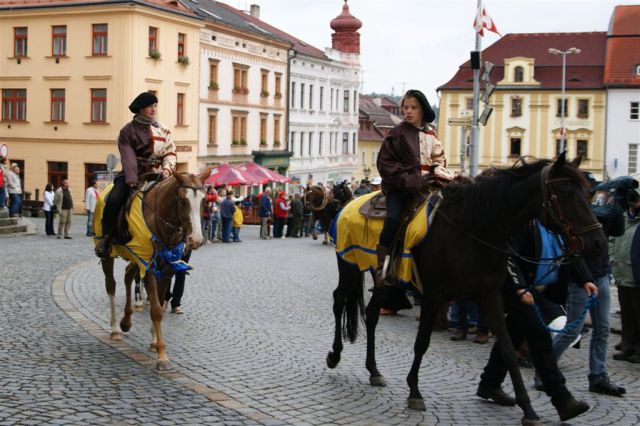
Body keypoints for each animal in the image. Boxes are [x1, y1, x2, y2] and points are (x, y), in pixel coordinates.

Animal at [94, 170, 208, 370]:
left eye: (204, 200)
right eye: (182, 200)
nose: (195, 240)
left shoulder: (166, 269)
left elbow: (160, 304)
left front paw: (154, 341)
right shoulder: (148, 268)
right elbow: (155, 310)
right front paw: (162, 354)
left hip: (135, 258)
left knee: (128, 275)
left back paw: (126, 320)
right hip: (108, 255)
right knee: (111, 286)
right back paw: (115, 328)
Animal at [328, 155, 608, 424]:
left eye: (587, 193)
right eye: (566, 194)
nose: (598, 243)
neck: (473, 228)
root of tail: (348, 205)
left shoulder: (489, 296)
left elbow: (507, 348)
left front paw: (529, 409)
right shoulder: (433, 296)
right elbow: (422, 343)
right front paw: (415, 393)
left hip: (383, 280)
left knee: (371, 314)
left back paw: (373, 370)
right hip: (350, 265)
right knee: (339, 300)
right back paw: (335, 355)